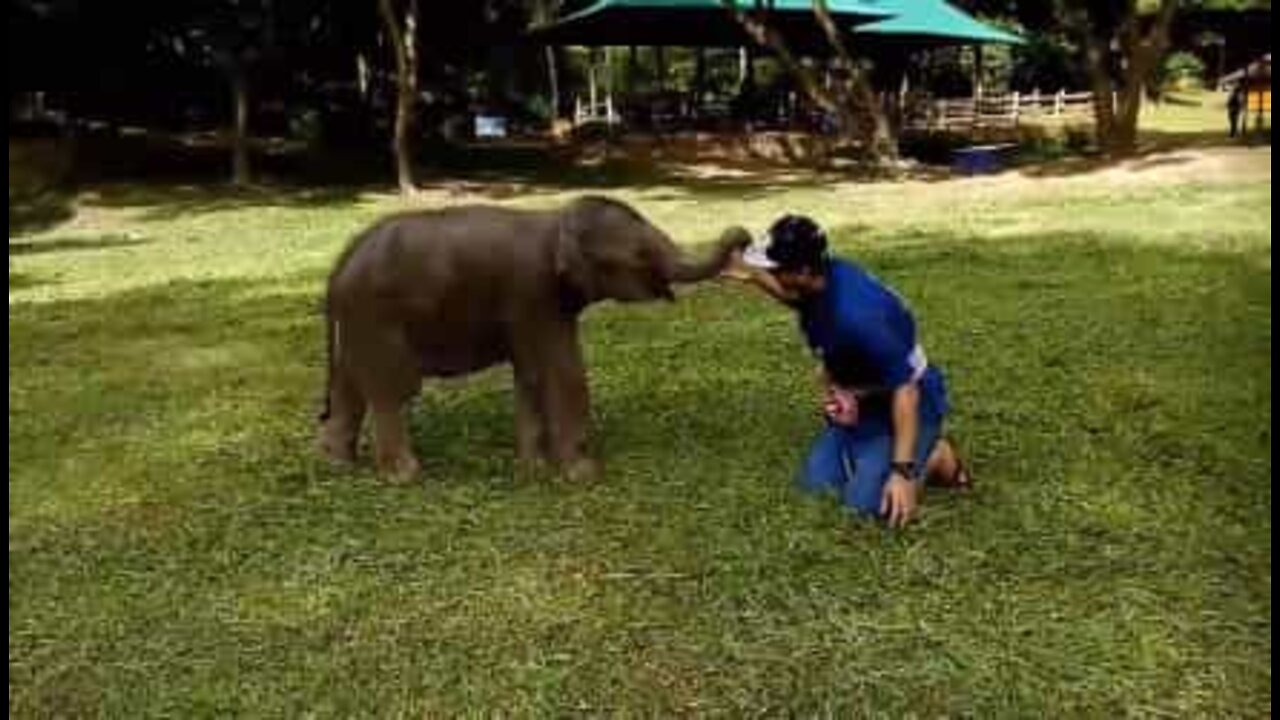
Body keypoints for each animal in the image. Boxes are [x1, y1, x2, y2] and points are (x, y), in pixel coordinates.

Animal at [320, 193, 752, 479]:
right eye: (639, 257)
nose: (744, 237)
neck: (556, 220)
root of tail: (338, 269)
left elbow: (531, 373)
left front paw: (533, 467)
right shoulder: (533, 291)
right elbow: (562, 370)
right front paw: (582, 474)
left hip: (359, 321)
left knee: (350, 387)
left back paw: (338, 464)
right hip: (377, 317)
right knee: (392, 390)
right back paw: (405, 476)